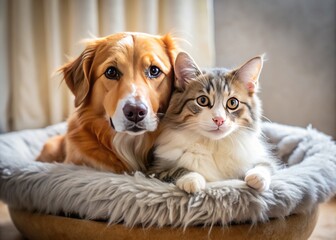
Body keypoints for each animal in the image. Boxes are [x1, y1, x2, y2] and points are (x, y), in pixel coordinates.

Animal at [148, 52, 280, 193]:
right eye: (202, 100)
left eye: (233, 103)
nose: (219, 119)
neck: (214, 143)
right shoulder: (156, 168)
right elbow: (179, 169)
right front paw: (192, 179)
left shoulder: (264, 159)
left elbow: (264, 165)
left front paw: (257, 178)